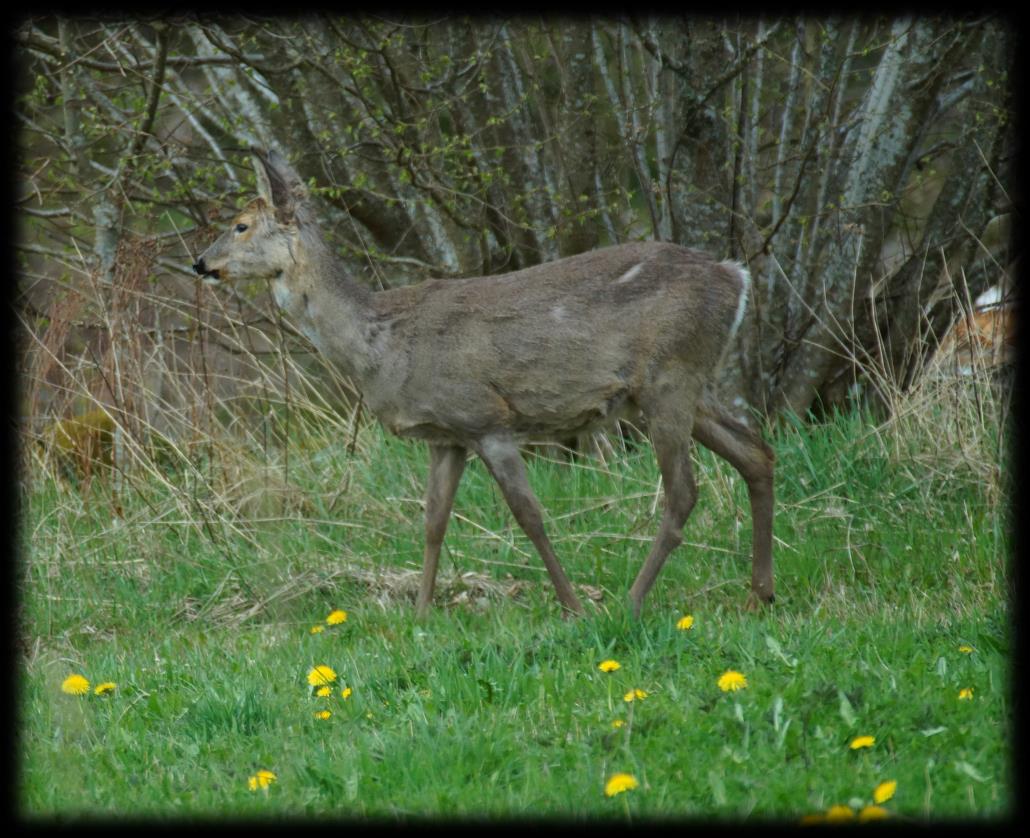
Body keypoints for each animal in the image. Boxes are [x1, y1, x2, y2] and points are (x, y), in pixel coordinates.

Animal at [193, 149, 774, 617]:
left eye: (241, 225)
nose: (200, 262)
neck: (381, 343)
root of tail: (737, 277)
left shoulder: (487, 418)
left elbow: (529, 515)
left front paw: (571, 607)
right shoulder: (446, 435)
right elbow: (433, 520)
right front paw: (421, 615)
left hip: (669, 377)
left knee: (683, 492)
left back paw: (630, 603)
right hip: (687, 385)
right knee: (756, 453)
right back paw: (758, 595)